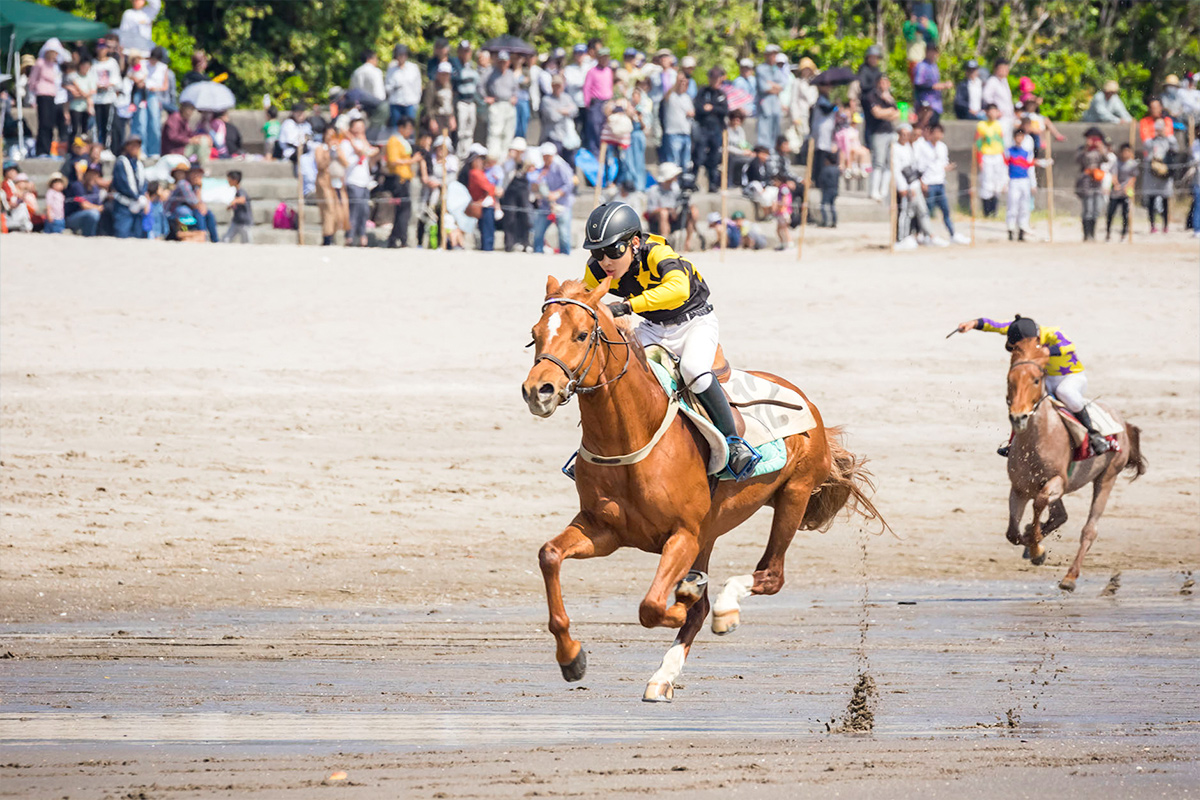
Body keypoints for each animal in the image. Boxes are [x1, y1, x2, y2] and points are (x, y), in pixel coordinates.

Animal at [521, 276, 884, 701]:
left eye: (581, 335)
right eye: (535, 335)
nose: (538, 390)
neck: (630, 436)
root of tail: (806, 401)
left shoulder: (682, 535)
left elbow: (651, 606)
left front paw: (683, 599)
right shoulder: (603, 530)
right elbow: (549, 556)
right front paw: (571, 657)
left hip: (792, 496)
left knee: (768, 576)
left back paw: (724, 609)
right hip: (711, 533)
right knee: (709, 602)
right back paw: (663, 675)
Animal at [1004, 338, 1146, 591]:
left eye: (1036, 380)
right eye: (1010, 379)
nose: (1018, 418)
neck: (1037, 440)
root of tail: (1120, 419)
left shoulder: (1057, 481)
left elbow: (1039, 504)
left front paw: (1036, 548)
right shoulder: (1019, 488)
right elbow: (1012, 533)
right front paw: (1034, 546)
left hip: (1107, 477)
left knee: (1089, 529)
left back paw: (1070, 577)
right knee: (1060, 516)